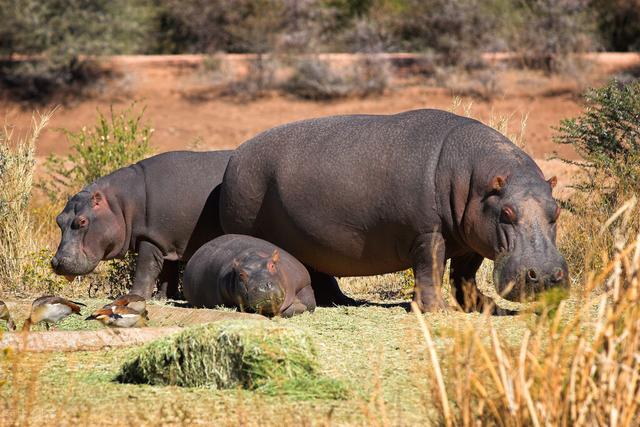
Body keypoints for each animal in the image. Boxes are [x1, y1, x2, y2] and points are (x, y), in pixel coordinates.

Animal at [218, 108, 568, 312]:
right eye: (507, 213)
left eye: (556, 212)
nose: (546, 275)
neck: (474, 181)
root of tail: (235, 157)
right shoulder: (427, 233)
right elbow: (430, 270)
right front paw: (436, 310)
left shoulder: (471, 239)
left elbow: (464, 276)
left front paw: (482, 305)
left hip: (311, 241)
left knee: (318, 271)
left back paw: (342, 301)